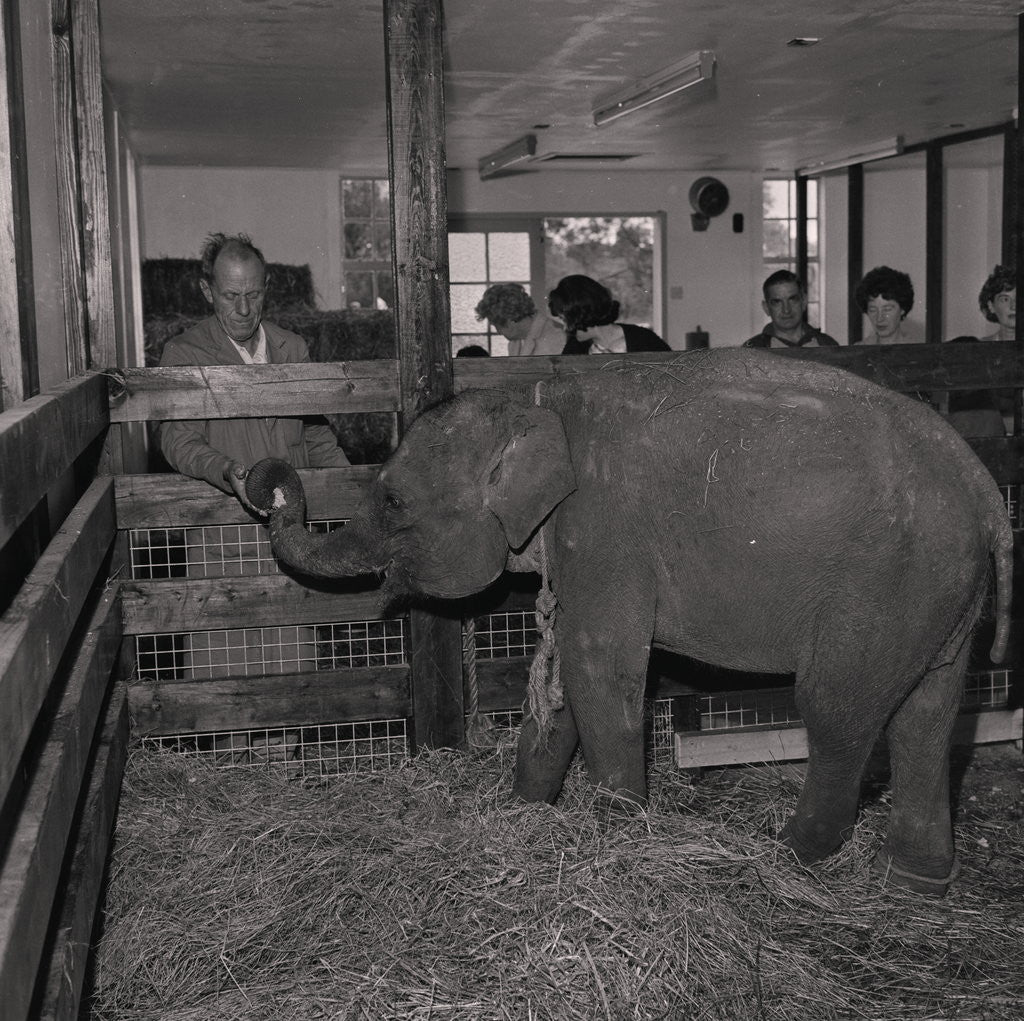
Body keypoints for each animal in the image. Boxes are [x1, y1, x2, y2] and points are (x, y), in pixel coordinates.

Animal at [245, 347, 1012, 895]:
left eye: (393, 500)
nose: (268, 486)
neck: (534, 405)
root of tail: (984, 489)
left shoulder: (604, 533)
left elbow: (600, 670)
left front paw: (615, 836)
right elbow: (561, 677)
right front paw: (526, 812)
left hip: (882, 587)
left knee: (837, 710)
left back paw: (787, 857)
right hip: (938, 595)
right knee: (928, 719)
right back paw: (914, 883)